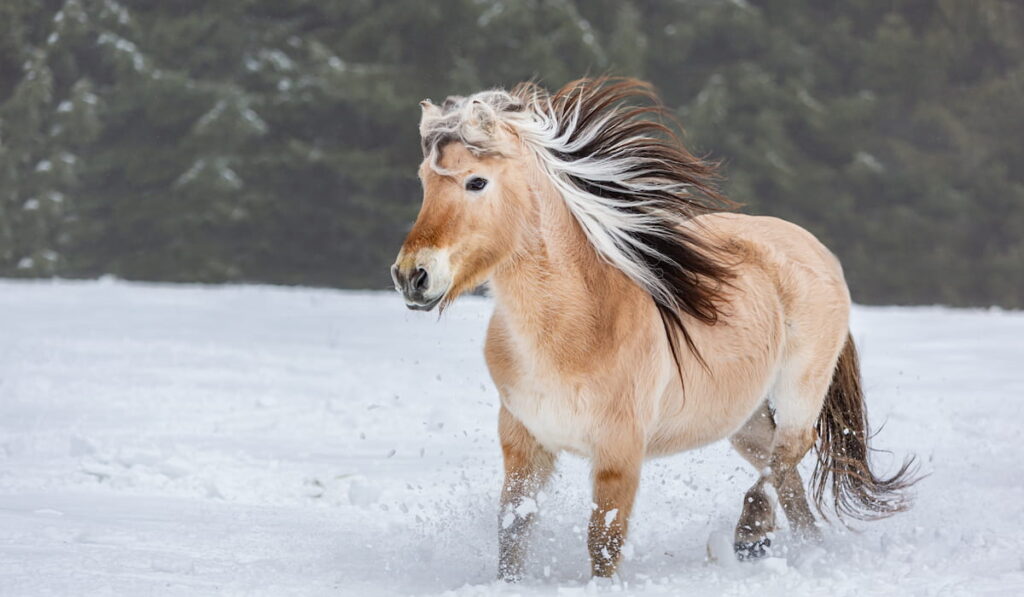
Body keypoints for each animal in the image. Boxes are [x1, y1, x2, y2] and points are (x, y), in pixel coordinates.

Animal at [387, 77, 917, 581]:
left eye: (476, 182)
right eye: (424, 181)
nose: (412, 276)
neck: (573, 328)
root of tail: (816, 248)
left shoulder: (619, 454)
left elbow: (603, 542)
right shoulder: (524, 445)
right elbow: (513, 532)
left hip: (798, 390)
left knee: (790, 450)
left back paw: (750, 535)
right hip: (742, 419)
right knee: (786, 477)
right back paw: (799, 550)